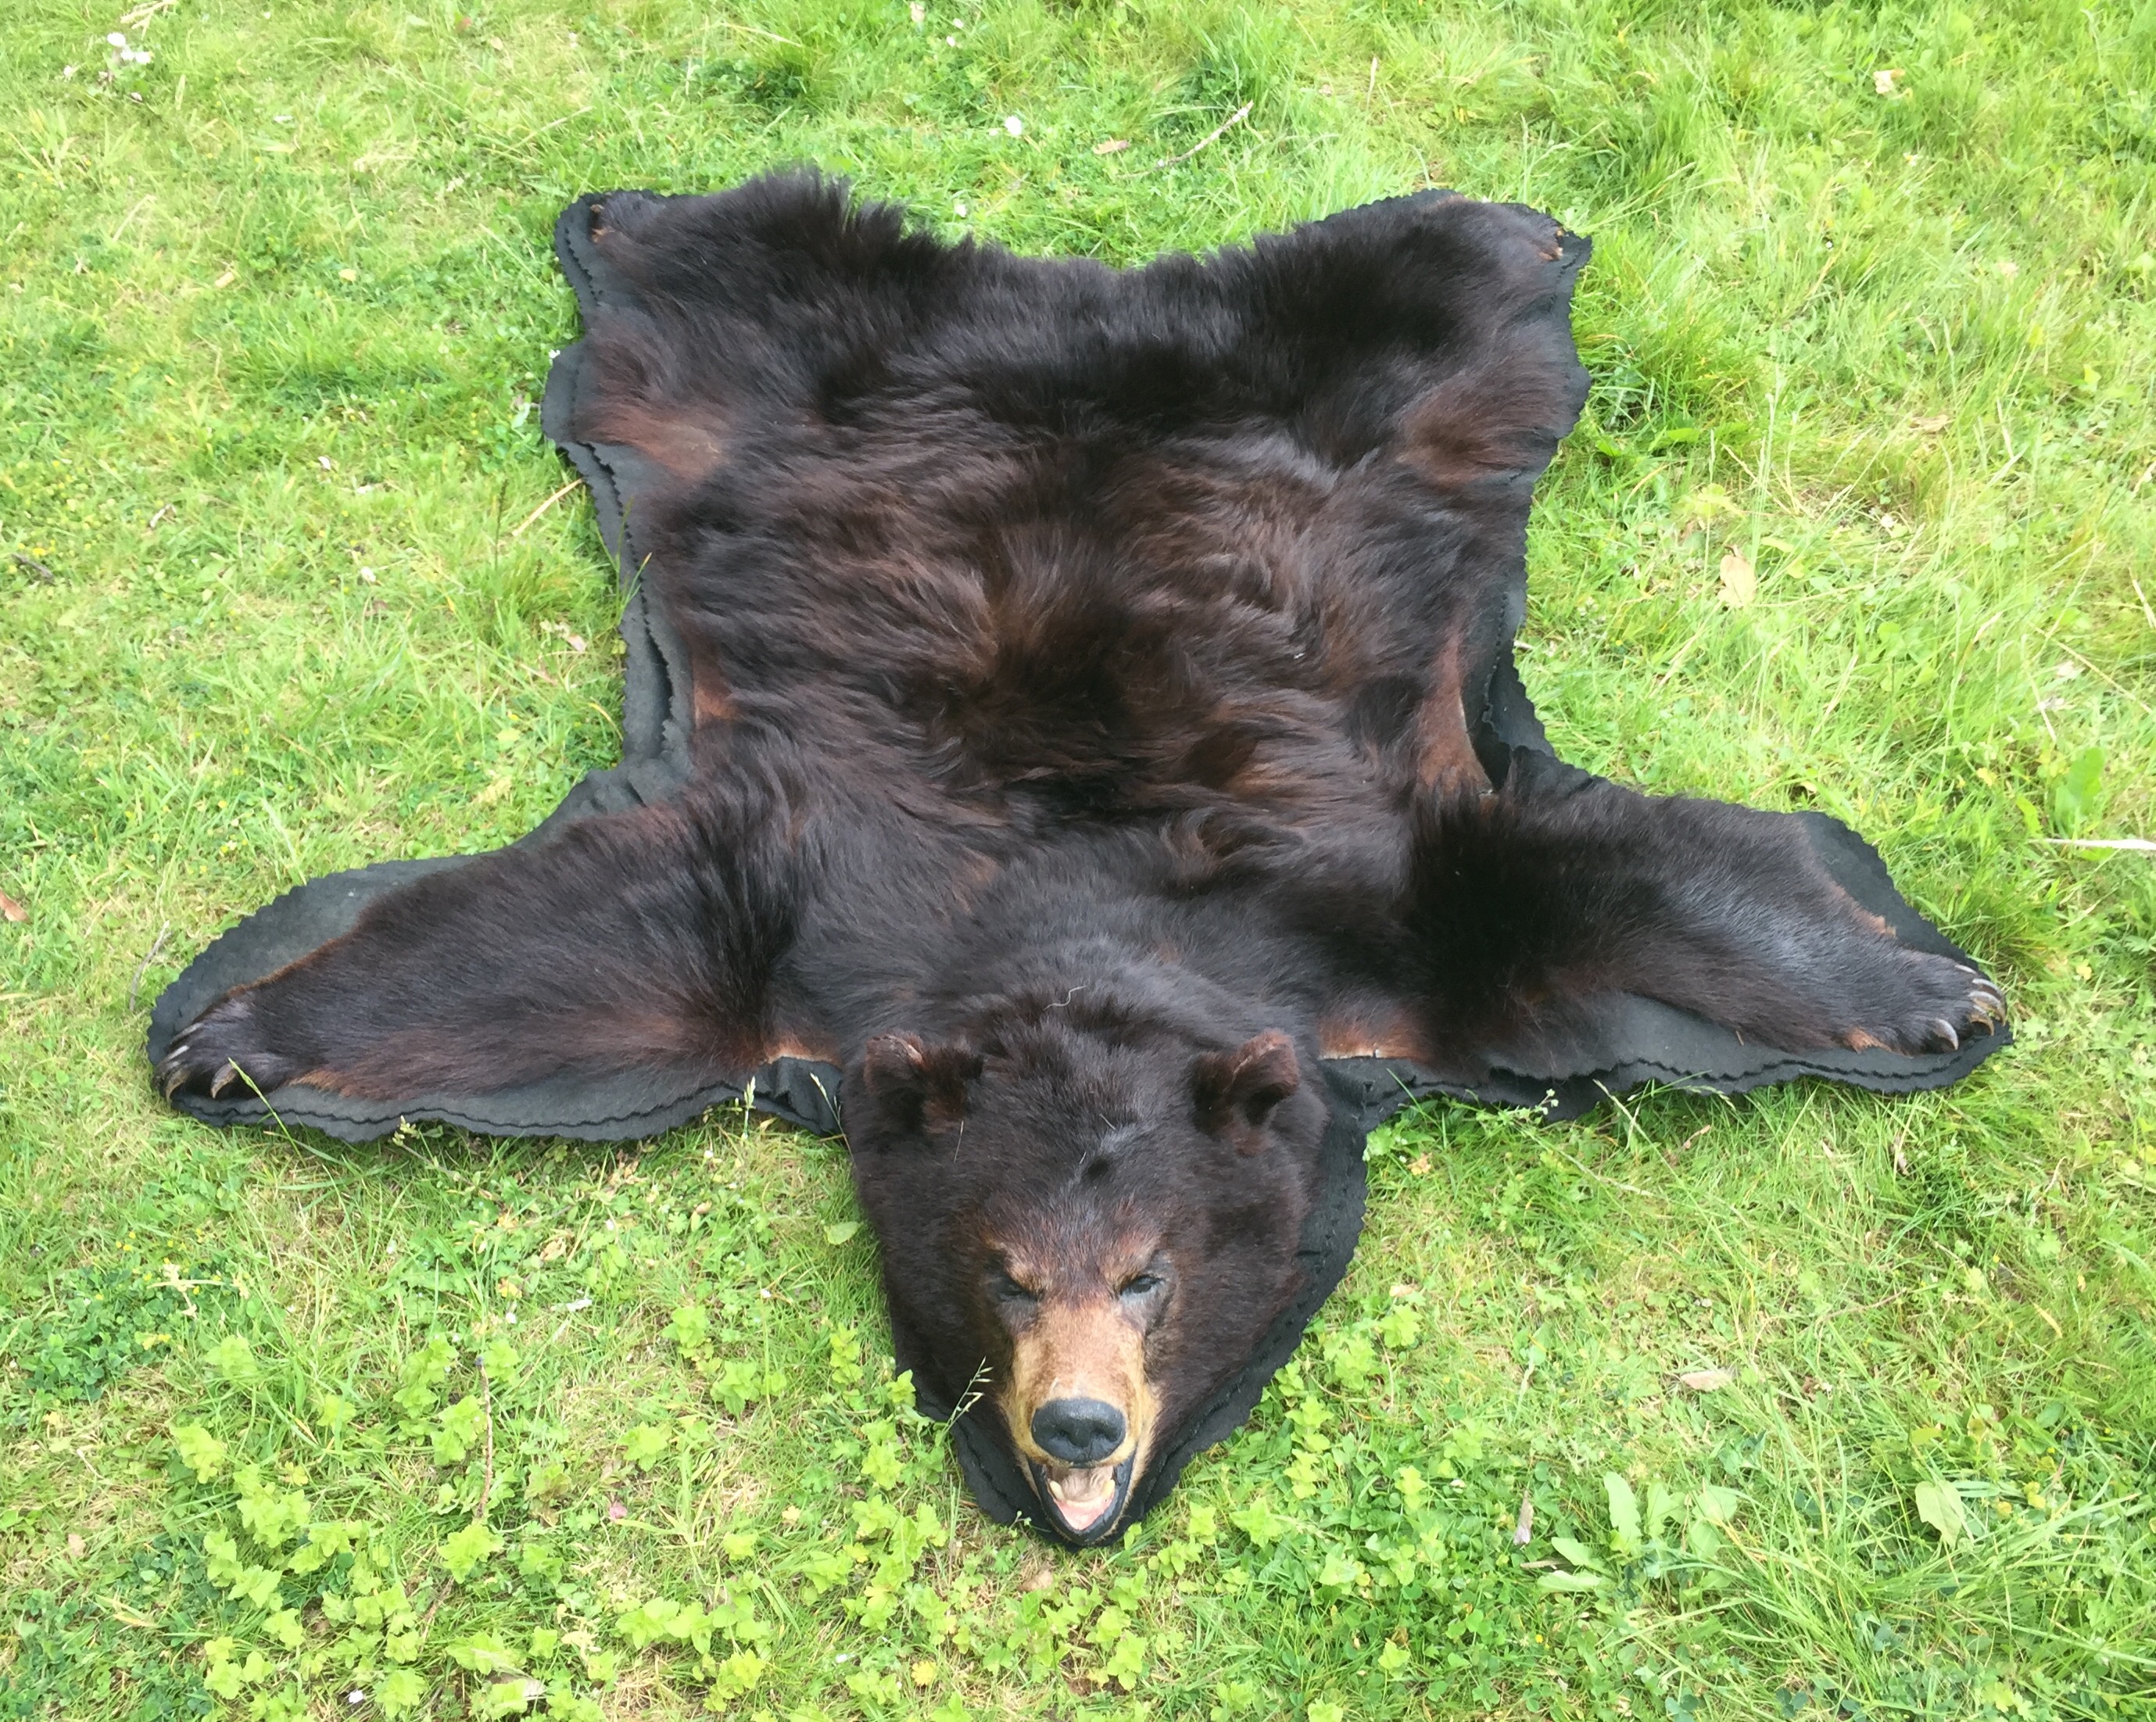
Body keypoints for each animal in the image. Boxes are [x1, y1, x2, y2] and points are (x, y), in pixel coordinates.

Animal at [156, 174, 2006, 1544]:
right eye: (1002, 1269)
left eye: (1149, 1270)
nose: (1075, 1424)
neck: (1088, 915)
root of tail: (1069, 300)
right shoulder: (814, 907)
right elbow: (584, 942)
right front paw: (237, 1030)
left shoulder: (1368, 896)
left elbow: (1577, 878)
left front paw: (1926, 986)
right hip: (739, 368)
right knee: (725, 273)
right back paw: (632, 225)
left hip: (1398, 369)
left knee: (1445, 282)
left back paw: (1514, 232)